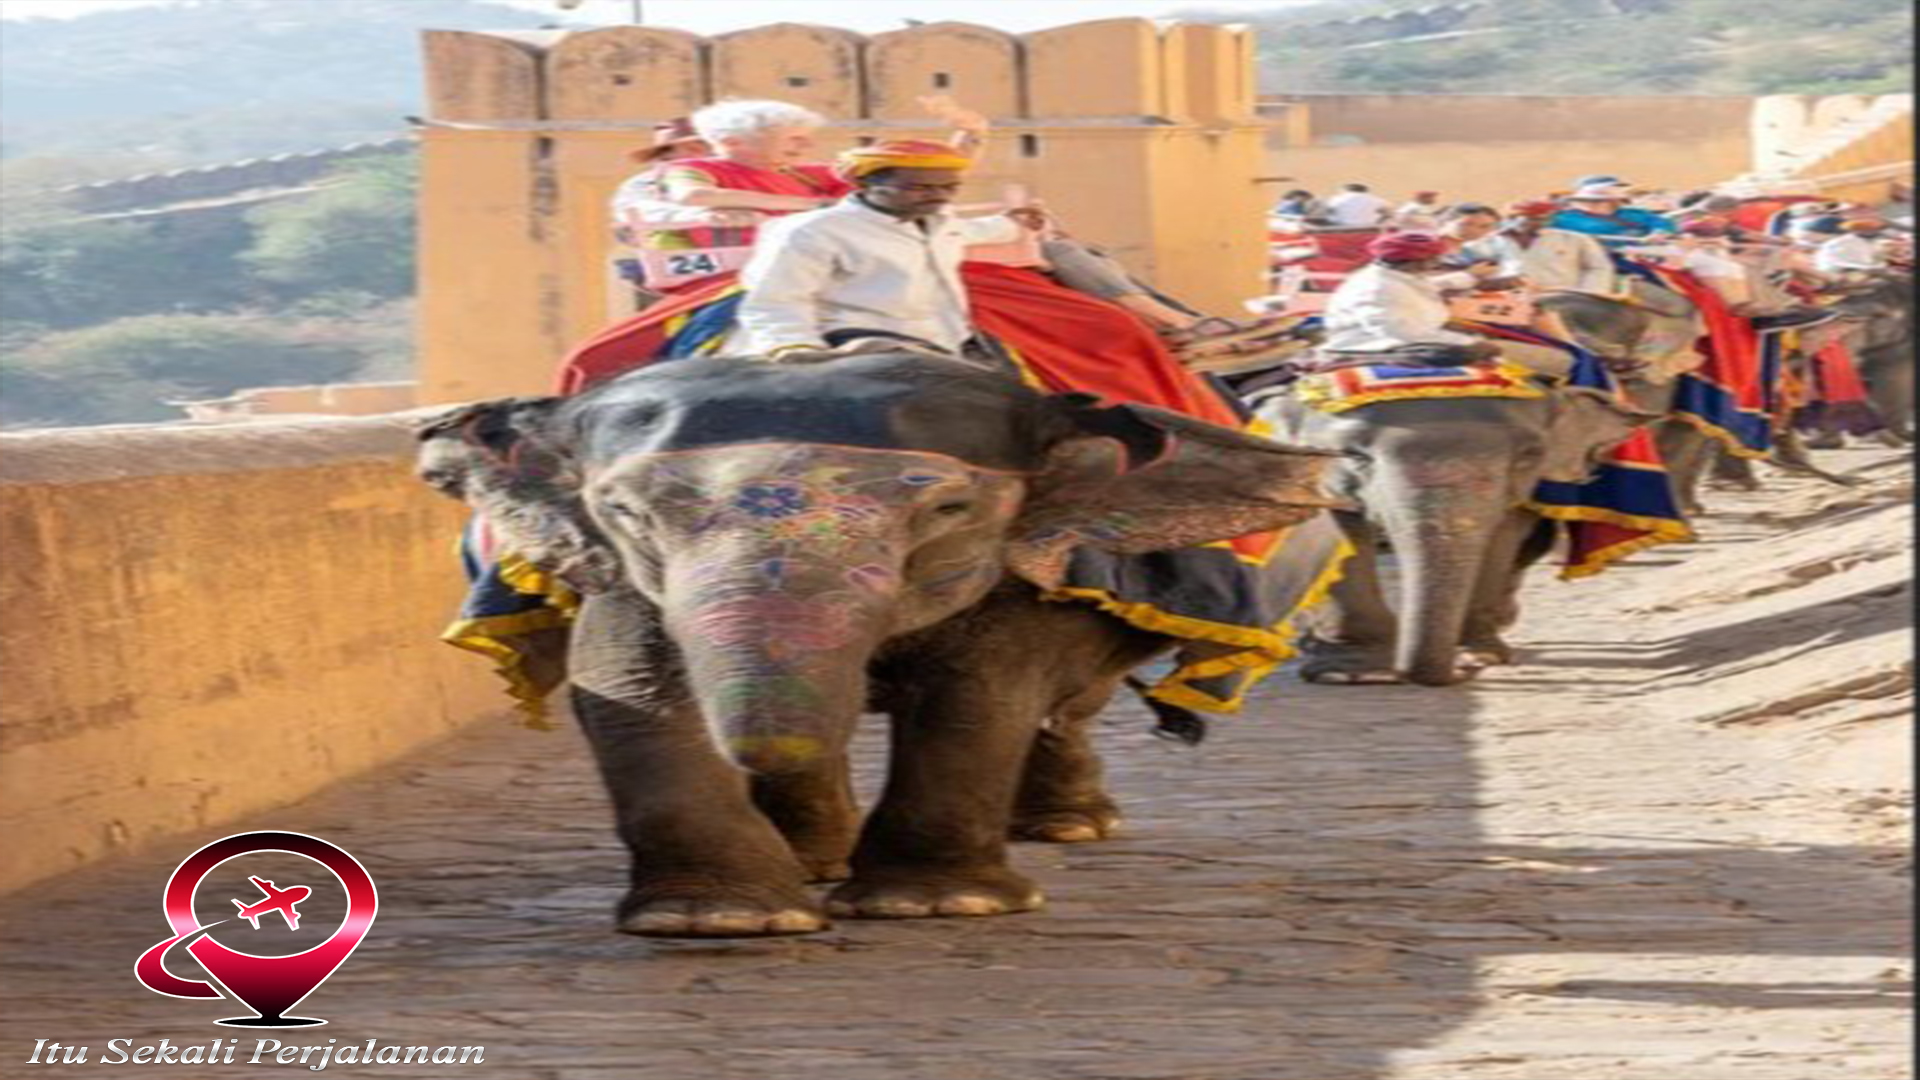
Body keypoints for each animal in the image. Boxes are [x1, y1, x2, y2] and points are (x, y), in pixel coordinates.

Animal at [408, 351, 1336, 933]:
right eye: (627, 512)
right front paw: (717, 918)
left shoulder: (1012, 565)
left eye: (950, 509)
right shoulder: (614, 570)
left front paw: (932, 906)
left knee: (1070, 704)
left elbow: (979, 696)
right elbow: (628, 688)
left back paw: (1070, 827)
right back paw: (816, 860)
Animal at [1244, 378, 1651, 680]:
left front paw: (1481, 657)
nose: (1456, 673)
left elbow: (1504, 535)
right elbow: (1333, 535)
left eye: (1530, 455)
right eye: (1354, 455)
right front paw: (1349, 673)